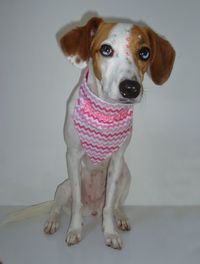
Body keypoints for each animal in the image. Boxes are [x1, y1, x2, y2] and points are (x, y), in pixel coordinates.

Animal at [42, 17, 175, 250]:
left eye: (144, 53)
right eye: (106, 49)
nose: (131, 88)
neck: (105, 111)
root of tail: (92, 209)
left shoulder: (117, 160)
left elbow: (109, 205)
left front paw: (110, 232)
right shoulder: (72, 156)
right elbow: (76, 203)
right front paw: (74, 230)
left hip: (125, 175)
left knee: (114, 205)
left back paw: (120, 217)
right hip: (63, 187)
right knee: (60, 206)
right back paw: (54, 221)